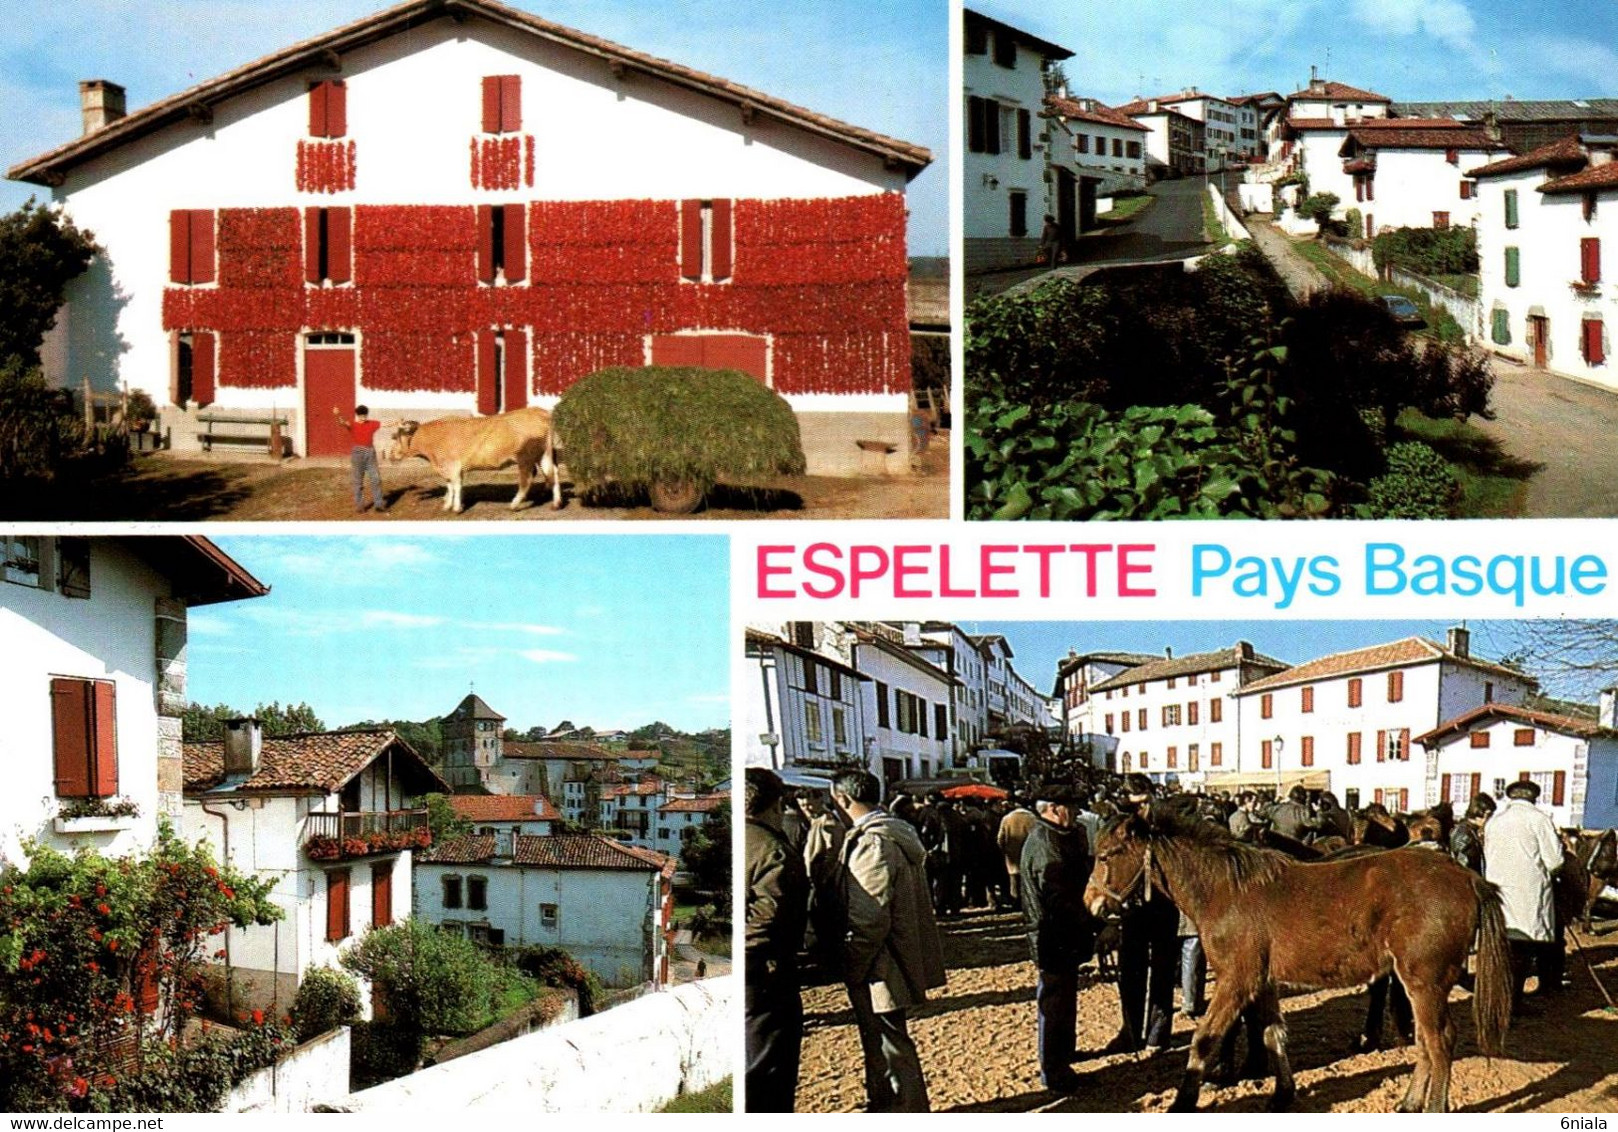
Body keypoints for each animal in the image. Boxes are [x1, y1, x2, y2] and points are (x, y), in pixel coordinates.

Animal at [385, 407, 563, 514]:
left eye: (395, 436)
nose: (387, 453)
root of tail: (540, 412)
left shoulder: (452, 465)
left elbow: (456, 486)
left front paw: (456, 508)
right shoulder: (447, 468)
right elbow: (450, 486)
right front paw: (447, 505)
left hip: (525, 458)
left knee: (527, 479)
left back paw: (514, 504)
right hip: (544, 454)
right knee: (553, 474)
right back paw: (556, 503)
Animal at [1080, 815, 1507, 1112]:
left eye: (1103, 856)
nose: (1091, 904)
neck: (1226, 892)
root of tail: (1468, 878)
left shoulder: (1236, 981)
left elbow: (1204, 1041)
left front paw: (1182, 1102)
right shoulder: (1263, 982)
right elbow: (1273, 1035)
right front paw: (1283, 1094)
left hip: (1425, 983)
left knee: (1439, 1042)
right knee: (1424, 1041)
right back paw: (1409, 1101)